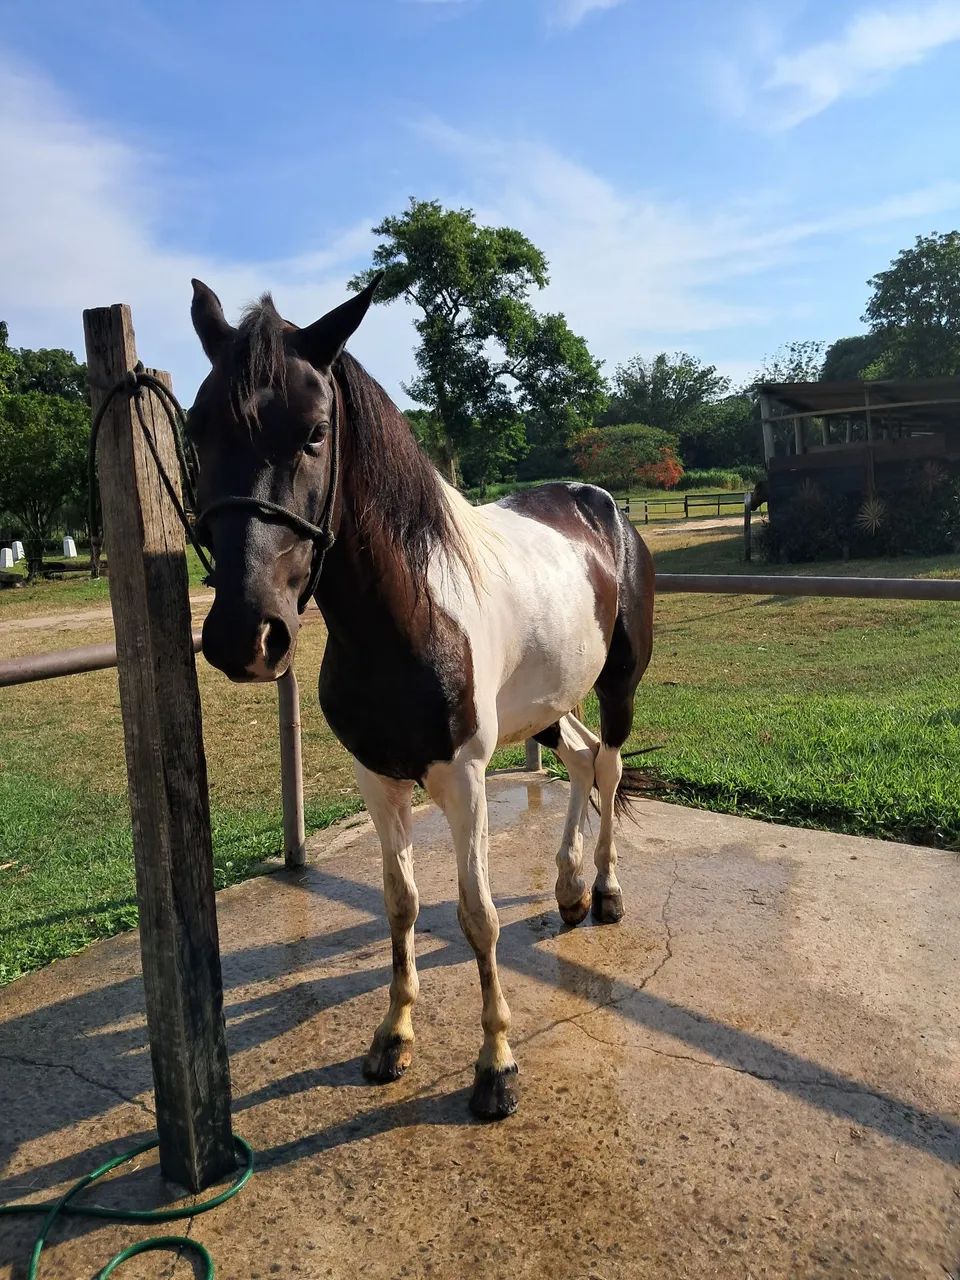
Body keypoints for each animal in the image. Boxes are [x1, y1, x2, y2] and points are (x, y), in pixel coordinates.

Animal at [187, 276, 655, 1120]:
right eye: (196, 430)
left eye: (314, 432)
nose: (245, 635)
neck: (409, 610)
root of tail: (602, 506)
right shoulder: (377, 779)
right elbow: (399, 901)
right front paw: (393, 1035)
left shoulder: (463, 779)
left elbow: (476, 915)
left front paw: (495, 1064)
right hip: (549, 703)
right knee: (576, 763)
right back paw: (569, 888)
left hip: (616, 690)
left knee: (605, 768)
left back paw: (603, 890)